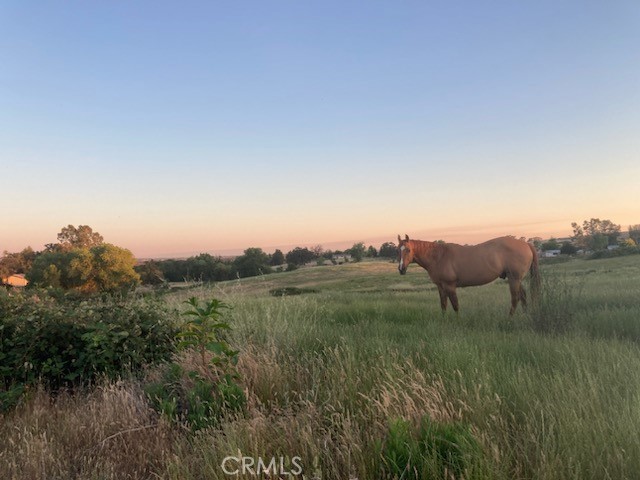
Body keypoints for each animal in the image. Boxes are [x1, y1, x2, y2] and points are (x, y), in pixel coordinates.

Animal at [396, 232, 540, 316]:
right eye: (398, 249)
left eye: (408, 250)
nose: (401, 269)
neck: (439, 256)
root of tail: (526, 244)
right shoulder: (441, 286)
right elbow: (443, 305)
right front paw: (444, 320)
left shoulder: (450, 286)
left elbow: (455, 305)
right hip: (516, 279)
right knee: (523, 296)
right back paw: (525, 315)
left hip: (514, 279)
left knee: (515, 298)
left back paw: (510, 318)